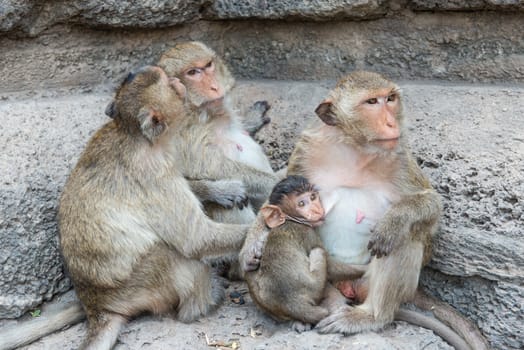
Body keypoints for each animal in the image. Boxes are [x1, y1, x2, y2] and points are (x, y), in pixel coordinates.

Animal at [0, 66, 252, 350]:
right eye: (171, 85)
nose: (177, 82)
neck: (137, 137)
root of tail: (96, 305)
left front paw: (222, 190)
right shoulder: (154, 173)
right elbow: (195, 238)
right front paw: (260, 231)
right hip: (138, 287)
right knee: (169, 254)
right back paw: (203, 303)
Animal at [246, 176, 368, 332]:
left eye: (312, 197)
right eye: (301, 203)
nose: (316, 209)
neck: (290, 219)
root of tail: (291, 303)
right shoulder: (309, 234)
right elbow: (331, 266)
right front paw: (366, 268)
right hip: (315, 286)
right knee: (318, 252)